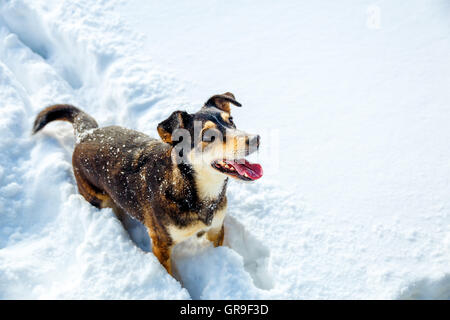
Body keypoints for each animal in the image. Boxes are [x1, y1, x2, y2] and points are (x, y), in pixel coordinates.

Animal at [33, 92, 264, 276]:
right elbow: (172, 277)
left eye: (231, 120)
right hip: (97, 197)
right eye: (208, 135)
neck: (194, 191)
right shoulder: (161, 244)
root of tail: (86, 134)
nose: (256, 138)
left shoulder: (216, 229)